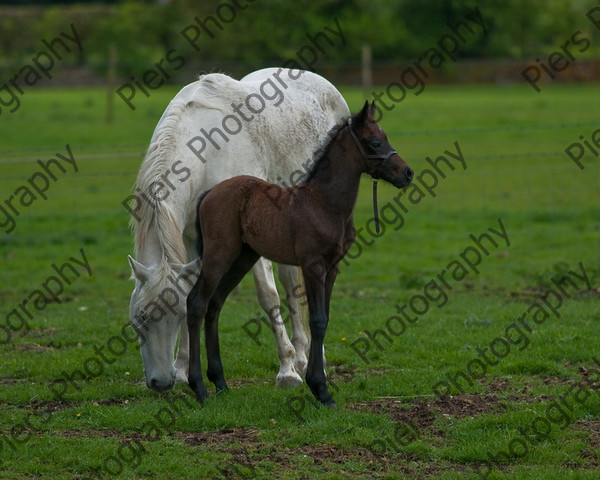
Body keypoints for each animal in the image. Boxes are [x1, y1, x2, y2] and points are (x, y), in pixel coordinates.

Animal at [127, 66, 352, 390]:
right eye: (141, 318)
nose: (161, 382)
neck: (206, 151)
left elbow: (268, 297)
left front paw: (287, 371)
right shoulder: (190, 241)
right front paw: (183, 369)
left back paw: (307, 359)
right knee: (291, 284)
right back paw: (302, 355)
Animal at [188, 101, 412, 404]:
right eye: (375, 142)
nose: (407, 173)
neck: (325, 203)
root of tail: (209, 193)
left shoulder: (332, 267)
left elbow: (324, 319)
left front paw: (319, 384)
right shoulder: (313, 265)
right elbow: (316, 320)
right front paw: (321, 390)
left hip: (242, 258)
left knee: (215, 304)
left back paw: (220, 382)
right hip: (218, 255)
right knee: (197, 303)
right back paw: (199, 388)